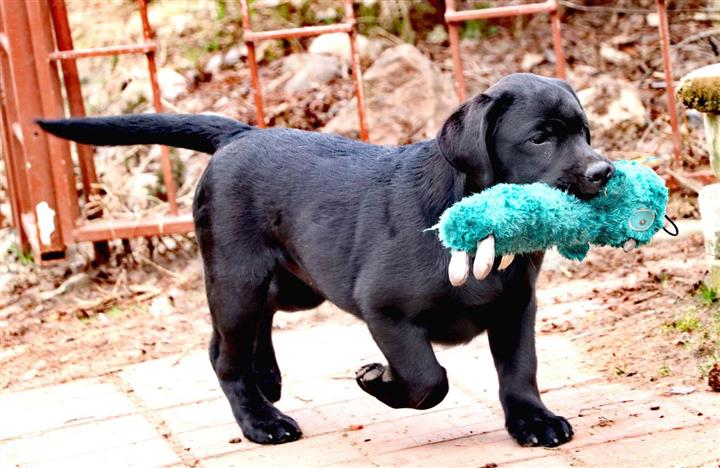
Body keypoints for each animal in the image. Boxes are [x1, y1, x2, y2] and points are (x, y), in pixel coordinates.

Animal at [39, 74, 612, 450]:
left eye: (585, 132)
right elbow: (428, 379)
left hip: (298, 282)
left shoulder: (516, 306)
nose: (604, 172)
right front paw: (380, 382)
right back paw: (261, 421)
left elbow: (520, 369)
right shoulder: (385, 310)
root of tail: (241, 134)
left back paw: (266, 376)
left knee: (249, 325)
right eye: (539, 137)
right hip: (236, 276)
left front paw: (533, 421)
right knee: (224, 354)